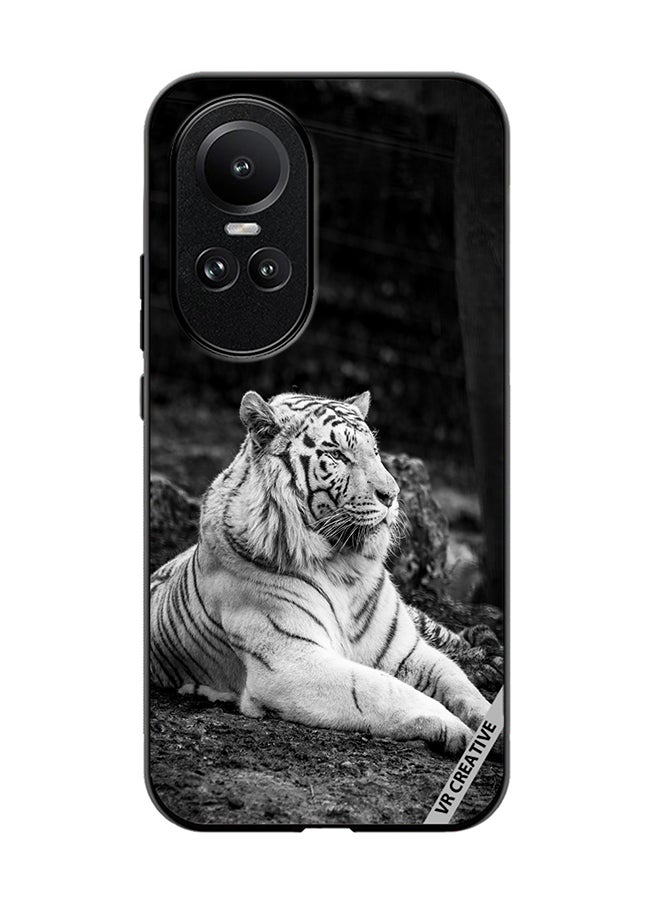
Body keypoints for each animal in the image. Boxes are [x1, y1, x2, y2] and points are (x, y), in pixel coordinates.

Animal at [150, 390, 493, 757]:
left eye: (375, 452)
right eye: (337, 455)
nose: (392, 495)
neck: (344, 567)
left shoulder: (404, 649)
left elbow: (456, 680)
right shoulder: (291, 662)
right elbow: (382, 688)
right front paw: (457, 730)